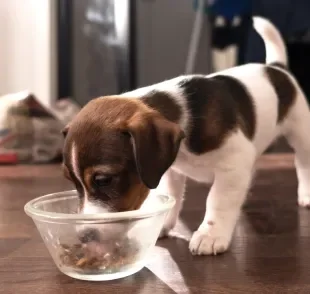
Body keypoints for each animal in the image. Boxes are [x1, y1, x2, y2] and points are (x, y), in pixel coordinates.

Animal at [61, 16, 310, 255]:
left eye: (104, 180)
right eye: (71, 181)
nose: (85, 237)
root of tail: (276, 68)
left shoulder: (233, 163)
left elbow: (217, 200)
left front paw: (211, 234)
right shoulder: (171, 172)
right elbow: (172, 197)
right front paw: (161, 225)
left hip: (301, 132)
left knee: (303, 163)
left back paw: (306, 194)